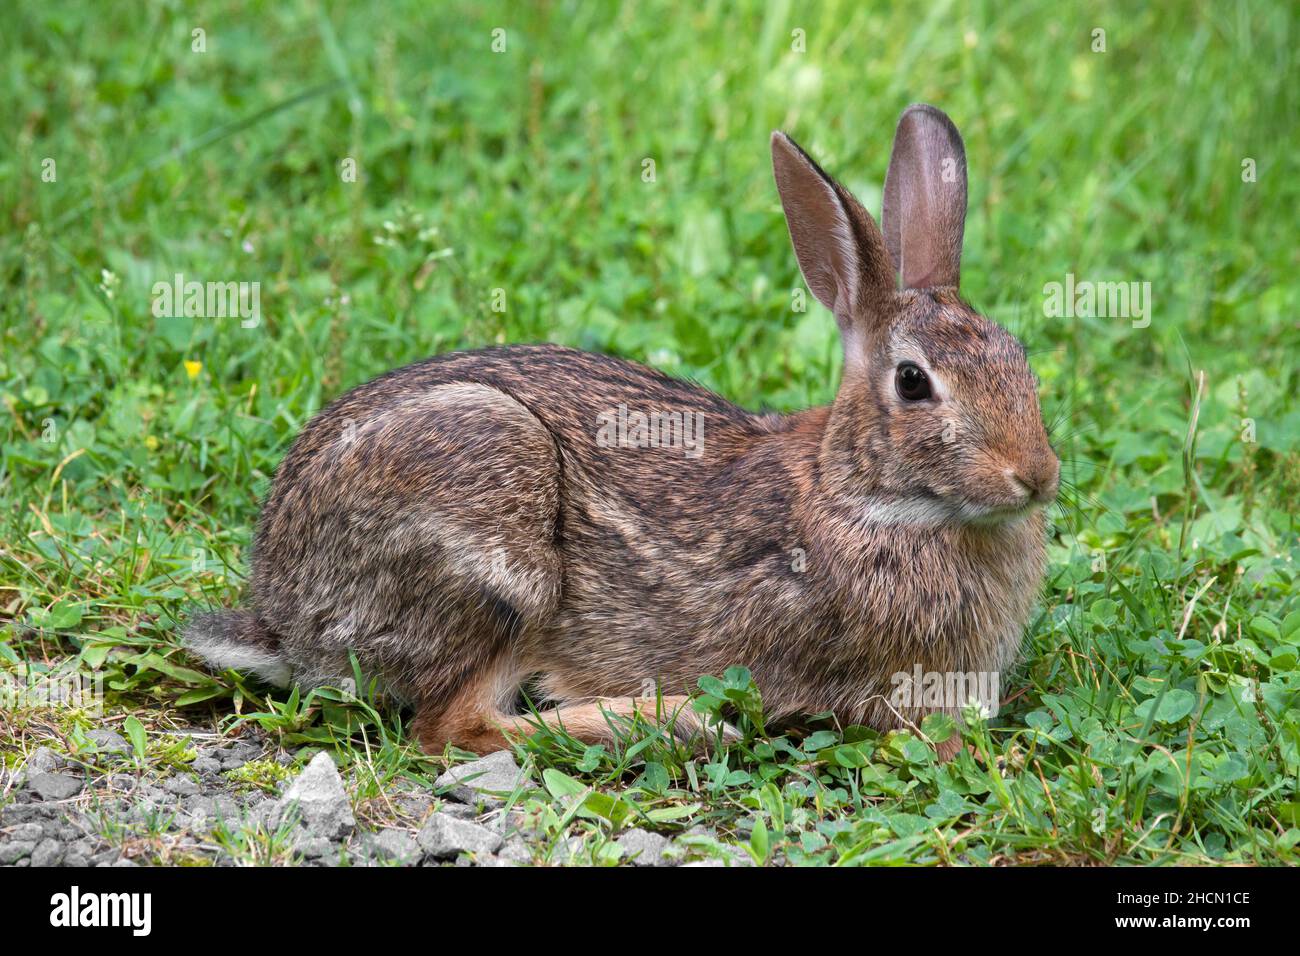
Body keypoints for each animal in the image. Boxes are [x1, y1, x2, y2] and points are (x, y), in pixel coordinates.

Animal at [185, 104, 1055, 759]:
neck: (863, 495)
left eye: (1019, 357)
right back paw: (674, 723)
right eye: (913, 383)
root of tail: (285, 617)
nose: (1036, 476)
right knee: (453, 727)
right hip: (499, 541)